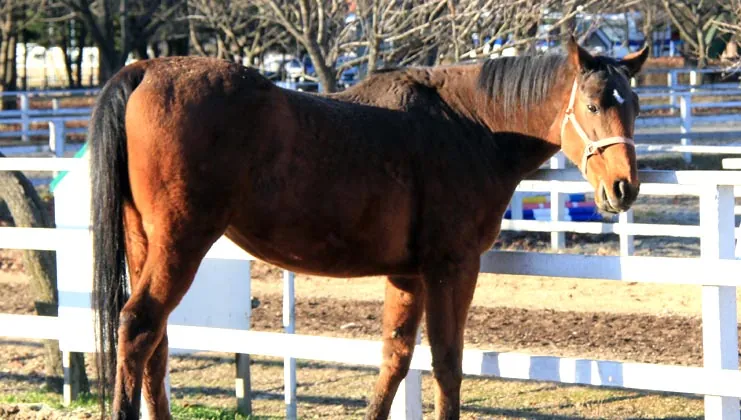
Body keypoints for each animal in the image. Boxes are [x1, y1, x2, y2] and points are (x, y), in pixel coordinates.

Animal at [89, 37, 648, 419]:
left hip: (145, 243)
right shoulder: (451, 268)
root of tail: (143, 69)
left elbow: (395, 359)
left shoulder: (408, 275)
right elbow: (447, 361)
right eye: (593, 105)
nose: (624, 187)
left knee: (155, 342)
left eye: (636, 107)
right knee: (138, 327)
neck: (470, 125)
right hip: (181, 244)